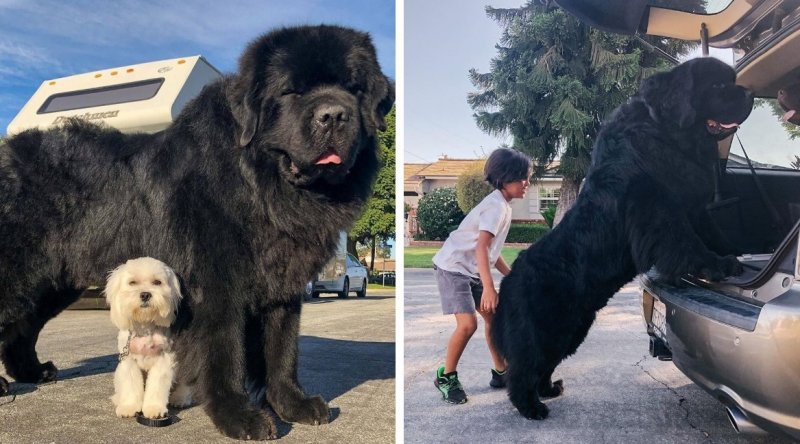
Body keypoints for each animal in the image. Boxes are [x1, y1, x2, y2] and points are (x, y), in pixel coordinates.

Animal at [103, 256, 183, 420]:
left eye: (157, 282)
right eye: (132, 282)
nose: (145, 294)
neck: (144, 326)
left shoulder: (163, 360)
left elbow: (157, 387)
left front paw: (154, 409)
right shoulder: (128, 361)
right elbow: (131, 386)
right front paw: (129, 407)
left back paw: (179, 398)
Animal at [494, 57, 756, 422]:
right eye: (718, 86)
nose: (750, 93)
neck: (665, 131)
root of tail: (507, 282)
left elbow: (703, 232)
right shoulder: (657, 207)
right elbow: (685, 240)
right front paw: (718, 265)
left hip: (570, 329)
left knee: (544, 364)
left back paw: (548, 390)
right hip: (540, 330)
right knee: (523, 369)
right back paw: (531, 407)